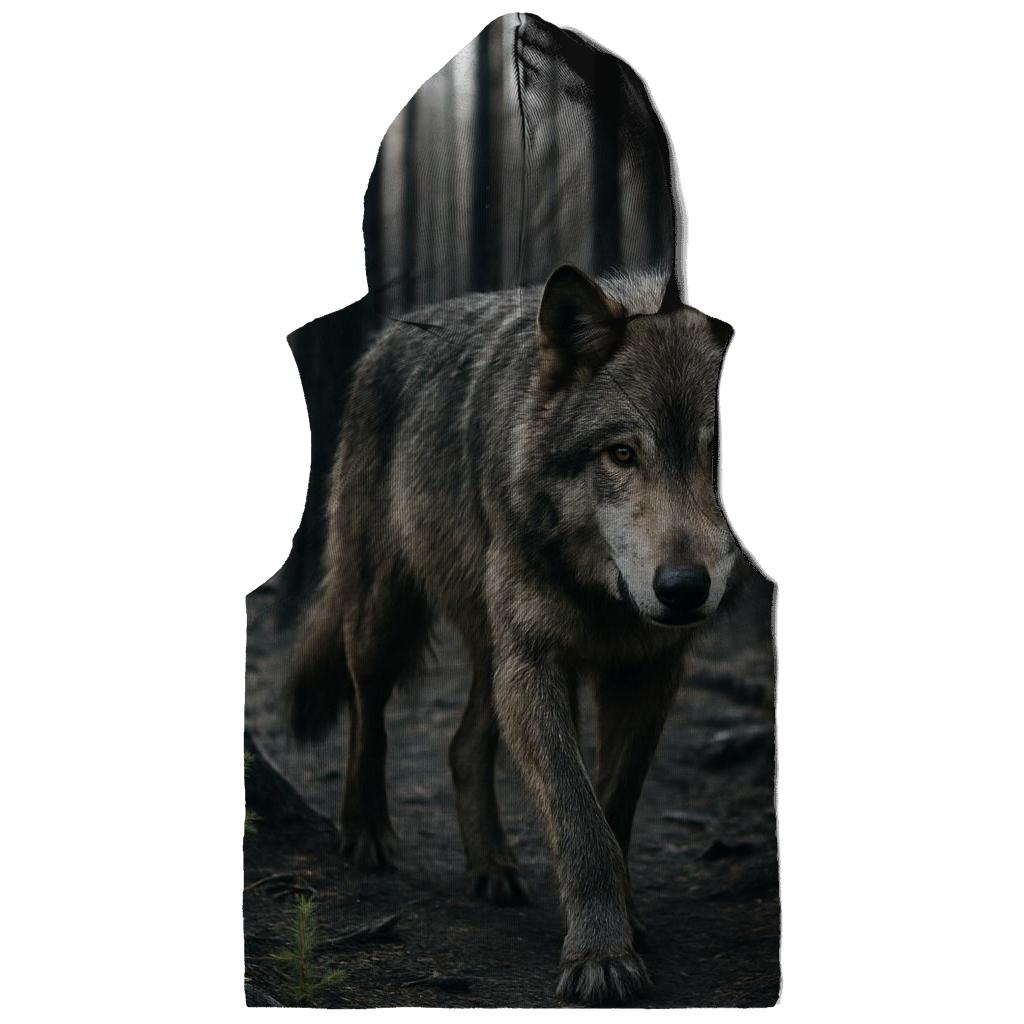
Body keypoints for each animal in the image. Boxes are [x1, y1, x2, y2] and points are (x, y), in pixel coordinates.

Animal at [287, 264, 741, 1006]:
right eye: (622, 454)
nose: (683, 589)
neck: (604, 599)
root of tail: (389, 333)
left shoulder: (650, 672)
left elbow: (613, 808)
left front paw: (622, 923)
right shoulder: (534, 661)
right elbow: (579, 818)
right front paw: (600, 955)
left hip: (491, 647)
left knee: (462, 744)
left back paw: (493, 865)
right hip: (387, 613)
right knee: (367, 712)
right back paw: (366, 831)